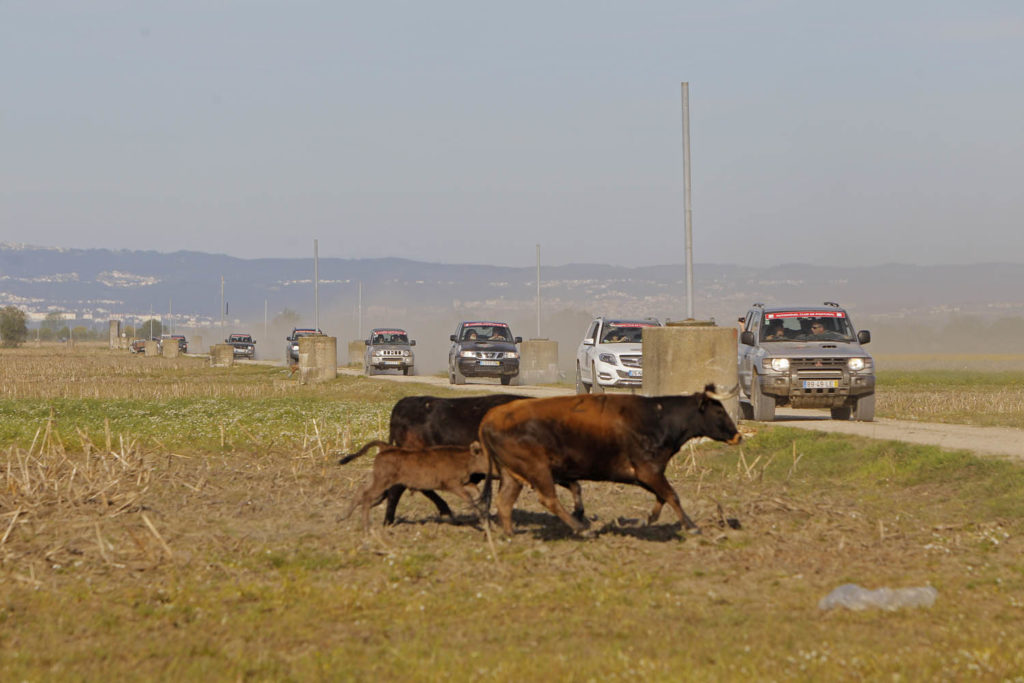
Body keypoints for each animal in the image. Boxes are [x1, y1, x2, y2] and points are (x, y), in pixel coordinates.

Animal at [339, 440, 487, 532]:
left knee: (361, 490)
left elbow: (475, 490)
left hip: (377, 480)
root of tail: (387, 448)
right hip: (382, 482)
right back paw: (366, 527)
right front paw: (480, 519)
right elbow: (468, 496)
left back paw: (343, 516)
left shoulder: (463, 483)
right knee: (367, 496)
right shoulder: (452, 484)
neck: (463, 458)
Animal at [475, 387, 741, 536]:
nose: (737, 435)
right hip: (536, 467)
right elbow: (671, 495)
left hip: (512, 472)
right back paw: (581, 529)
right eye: (719, 411)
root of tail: (491, 416)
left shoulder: (643, 474)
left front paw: (648, 520)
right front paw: (691, 525)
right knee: (548, 499)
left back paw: (510, 534)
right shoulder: (648, 470)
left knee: (504, 502)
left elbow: (661, 497)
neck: (657, 417)